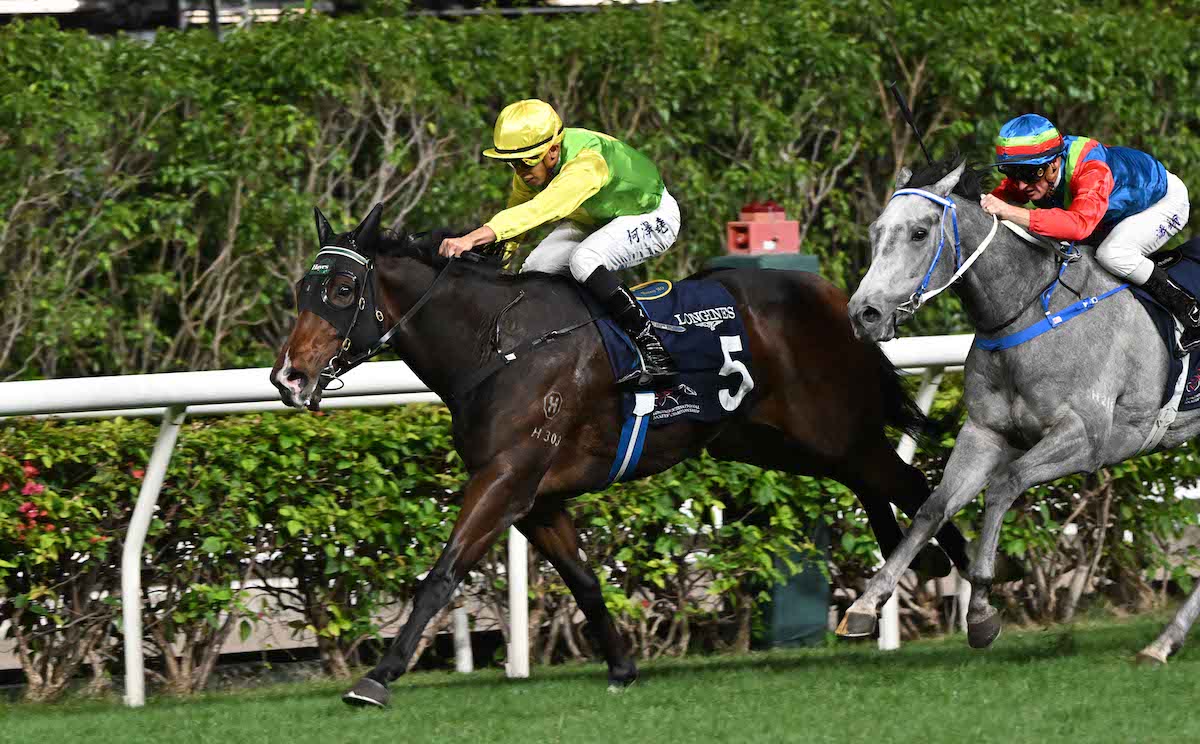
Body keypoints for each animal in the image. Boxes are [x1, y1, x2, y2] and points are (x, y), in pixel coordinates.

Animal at [274, 204, 974, 705]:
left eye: (343, 289)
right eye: (303, 290)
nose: (288, 377)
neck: (496, 344)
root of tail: (831, 294)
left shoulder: (505, 477)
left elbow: (443, 573)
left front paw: (378, 676)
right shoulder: (536, 498)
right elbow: (583, 580)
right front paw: (622, 665)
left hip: (828, 429)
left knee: (915, 486)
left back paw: (973, 588)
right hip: (775, 442)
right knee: (872, 479)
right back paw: (910, 575)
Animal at [844, 156, 1200, 662]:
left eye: (918, 232)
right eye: (877, 231)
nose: (864, 314)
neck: (1030, 311)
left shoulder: (1087, 440)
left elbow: (1003, 486)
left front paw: (981, 611)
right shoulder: (984, 432)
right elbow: (933, 507)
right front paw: (865, 603)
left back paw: (1163, 641)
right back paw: (1164, 641)